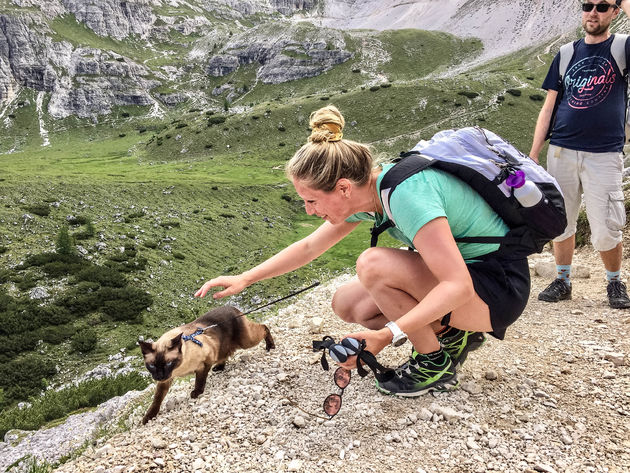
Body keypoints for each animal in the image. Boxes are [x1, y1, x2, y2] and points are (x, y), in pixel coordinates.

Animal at [139, 306, 276, 424]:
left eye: (168, 363)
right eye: (152, 366)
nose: (159, 376)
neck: (179, 369)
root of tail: (231, 307)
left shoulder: (204, 364)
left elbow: (199, 381)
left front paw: (196, 393)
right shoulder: (166, 381)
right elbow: (156, 400)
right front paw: (148, 417)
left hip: (246, 341)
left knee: (264, 327)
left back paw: (270, 346)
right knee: (225, 354)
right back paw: (220, 367)